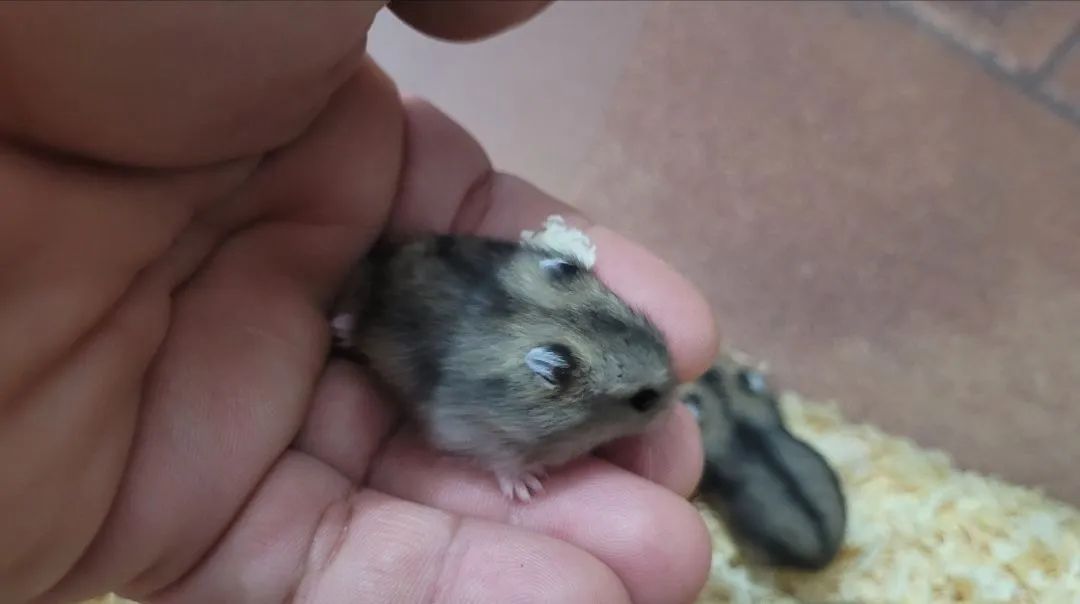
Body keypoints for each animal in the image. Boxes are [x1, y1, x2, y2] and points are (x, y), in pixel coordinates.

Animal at [331, 234, 677, 502]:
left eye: (659, 337)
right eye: (644, 400)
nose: (674, 402)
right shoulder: (470, 429)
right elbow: (502, 460)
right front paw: (528, 487)